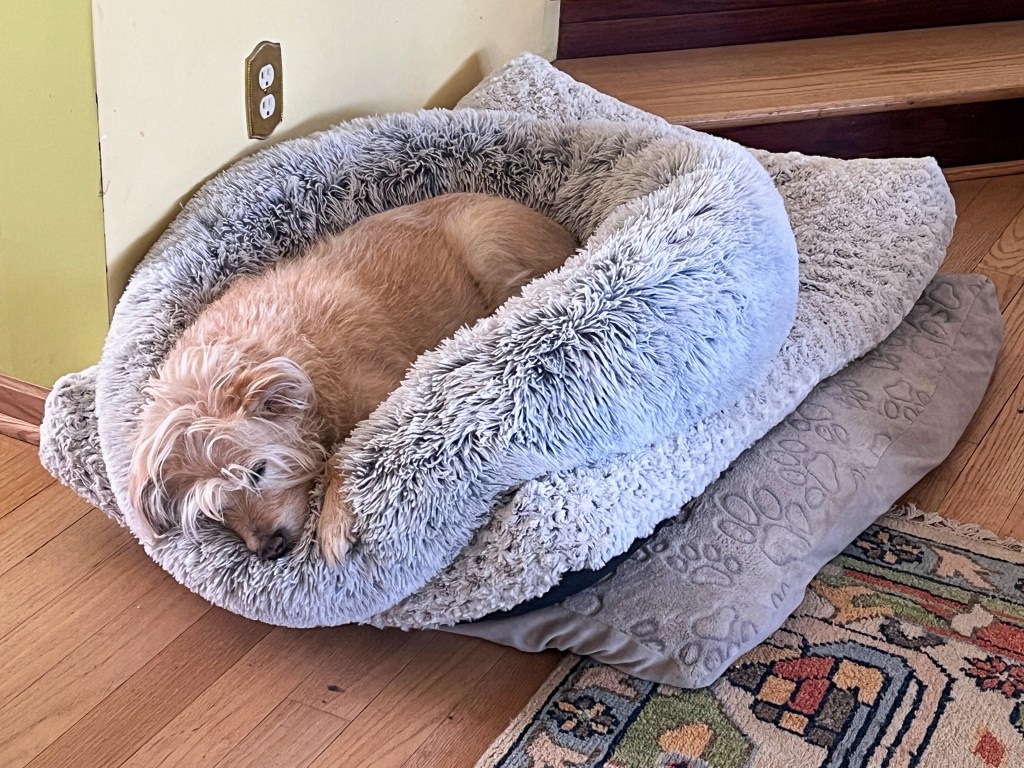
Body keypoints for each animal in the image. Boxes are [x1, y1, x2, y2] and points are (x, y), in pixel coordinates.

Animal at [127, 193, 577, 565]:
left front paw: (333, 522)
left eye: (258, 471)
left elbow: (345, 453)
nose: (270, 549)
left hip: (487, 247)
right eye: (213, 508)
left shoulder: (387, 397)